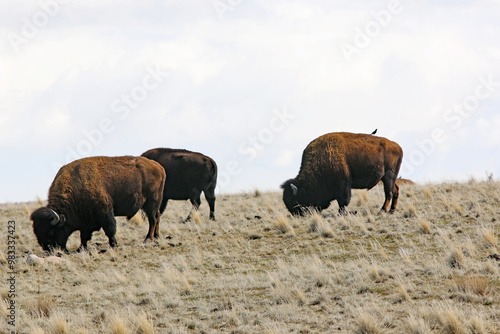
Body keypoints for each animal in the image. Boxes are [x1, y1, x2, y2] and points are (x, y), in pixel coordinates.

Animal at [30, 155, 165, 252]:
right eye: (36, 232)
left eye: (51, 231)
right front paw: (81, 248)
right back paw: (156, 237)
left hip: (151, 203)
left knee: (152, 220)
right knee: (157, 217)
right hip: (152, 205)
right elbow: (84, 236)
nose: (48, 249)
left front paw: (113, 245)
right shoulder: (86, 221)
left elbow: (110, 230)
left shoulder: (105, 212)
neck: (76, 187)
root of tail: (159, 167)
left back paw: (147, 239)